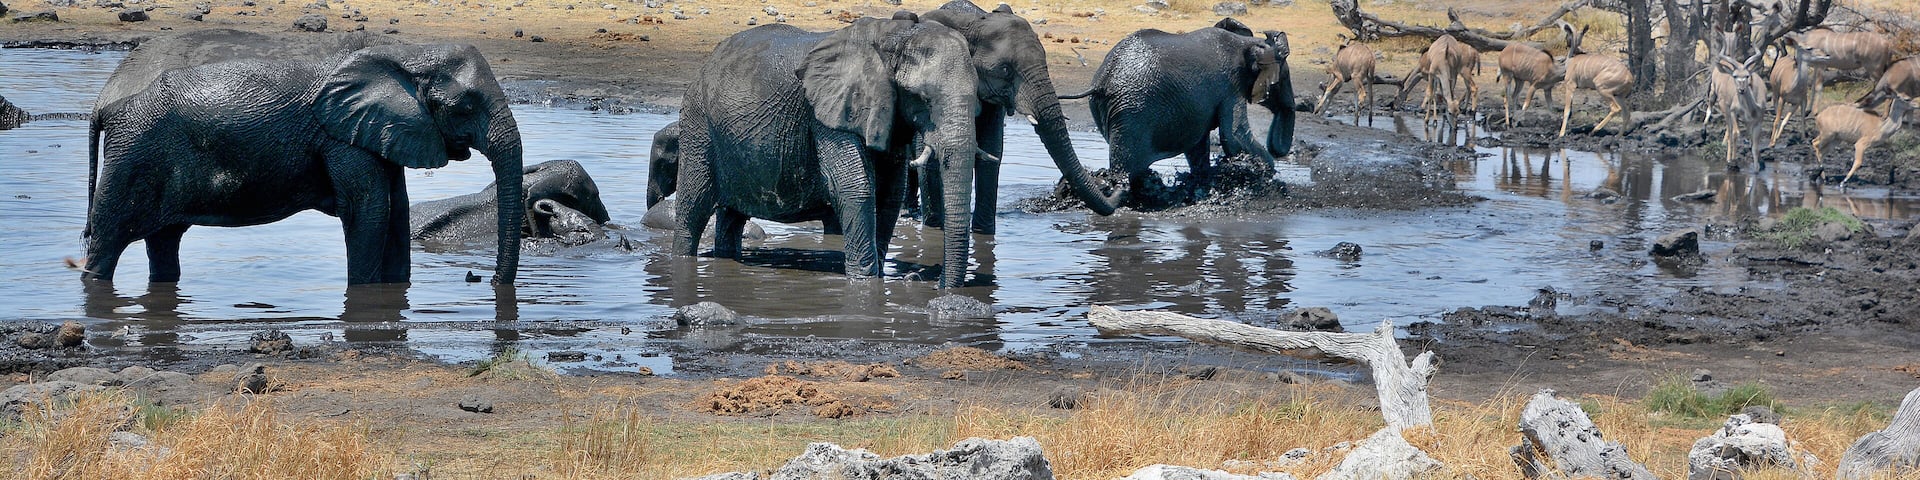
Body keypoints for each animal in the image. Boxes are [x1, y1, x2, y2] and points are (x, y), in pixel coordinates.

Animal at [85, 43, 525, 285]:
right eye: (465, 107)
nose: (483, 280)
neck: (403, 56)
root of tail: (105, 108)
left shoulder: (379, 132)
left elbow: (396, 210)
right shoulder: (340, 137)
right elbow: (369, 210)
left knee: (163, 243)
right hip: (131, 157)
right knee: (106, 245)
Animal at [675, 15, 984, 288]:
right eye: (922, 97)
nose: (932, 282)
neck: (894, 36)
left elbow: (889, 194)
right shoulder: (829, 115)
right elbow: (856, 188)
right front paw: (865, 285)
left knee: (731, 217)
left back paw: (726, 259)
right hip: (698, 125)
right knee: (693, 208)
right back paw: (682, 261)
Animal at [1060, 18, 1295, 197]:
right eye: (1281, 78)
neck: (1247, 42)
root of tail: (1101, 81)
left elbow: (1199, 146)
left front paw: (1202, 180)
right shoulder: (1231, 86)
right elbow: (1235, 136)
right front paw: (1268, 174)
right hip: (1133, 113)